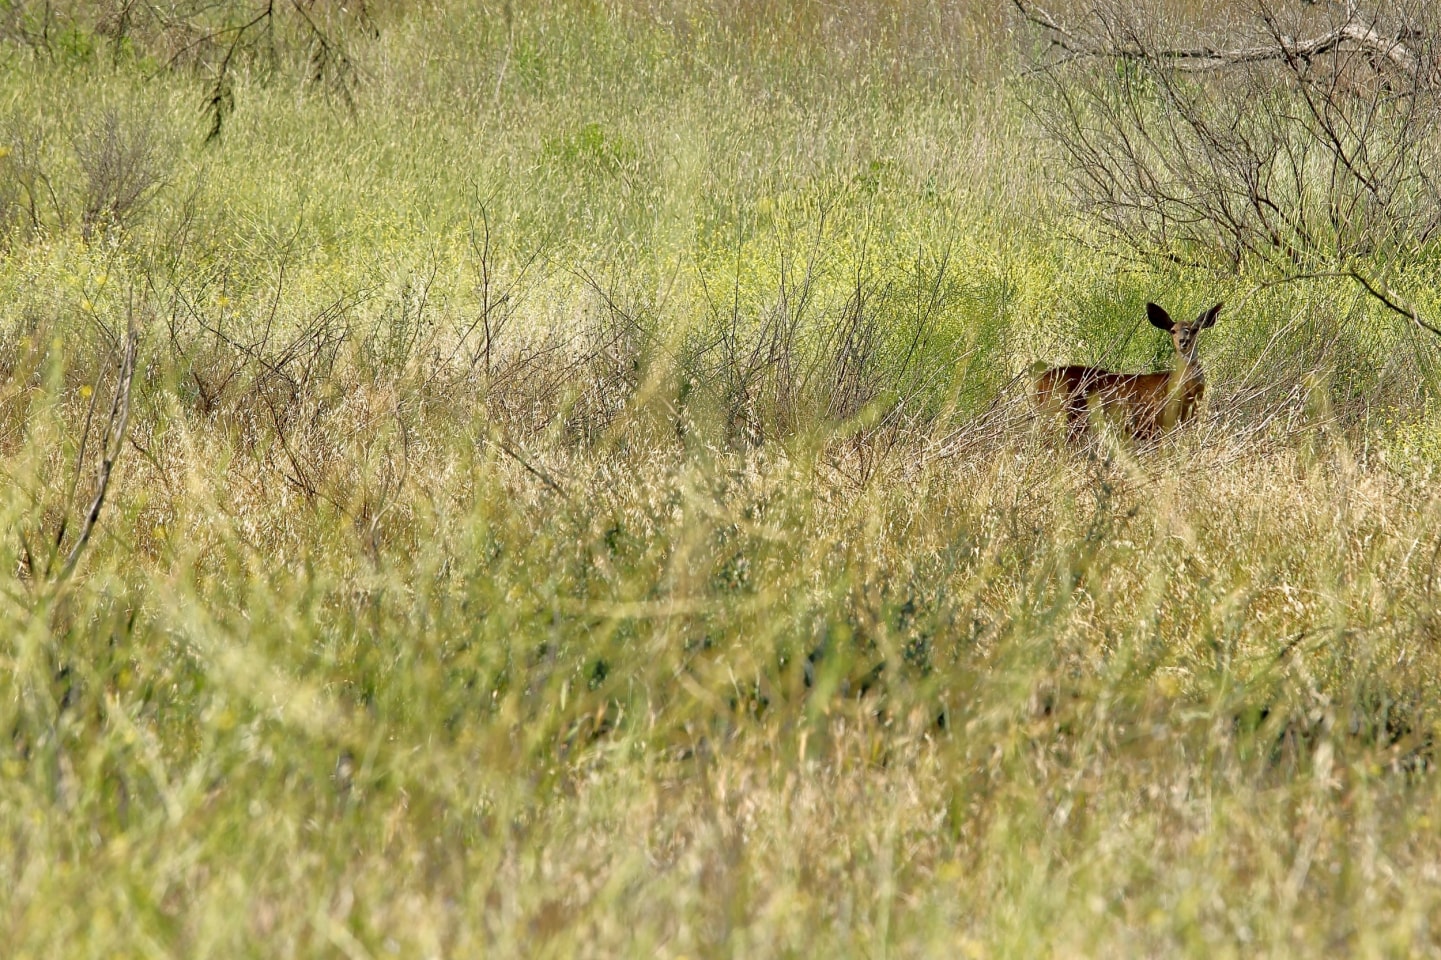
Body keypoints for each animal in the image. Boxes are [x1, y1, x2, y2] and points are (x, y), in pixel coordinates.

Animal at [1033, 302, 1222, 444]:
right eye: (1173, 330)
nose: (1184, 341)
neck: (1185, 391)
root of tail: (1039, 383)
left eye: (1195, 329)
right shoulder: (1159, 424)